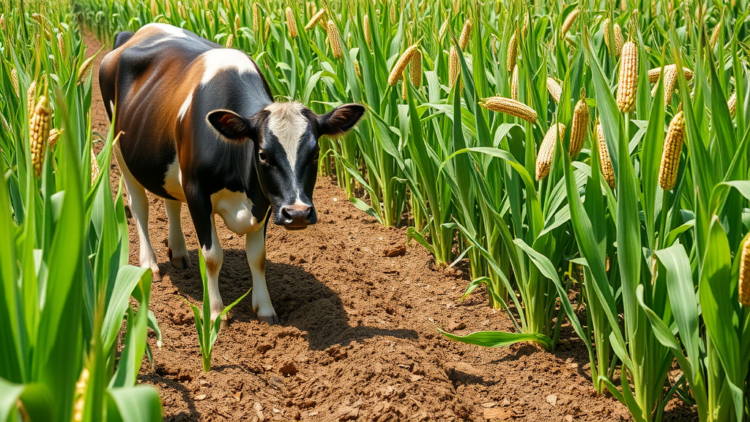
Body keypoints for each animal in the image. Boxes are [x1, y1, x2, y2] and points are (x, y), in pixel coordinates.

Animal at [99, 23, 364, 325]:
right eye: (262, 154)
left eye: (316, 153)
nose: (297, 213)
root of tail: (136, 32)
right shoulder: (197, 193)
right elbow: (213, 255)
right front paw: (215, 313)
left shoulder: (265, 200)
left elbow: (258, 256)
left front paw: (265, 309)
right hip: (120, 150)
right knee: (139, 206)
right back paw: (149, 265)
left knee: (170, 201)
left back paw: (178, 253)